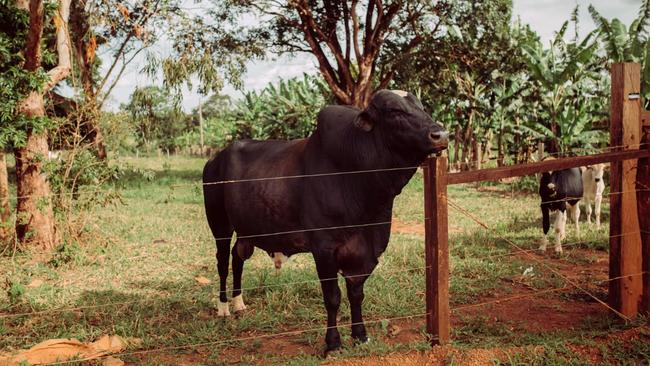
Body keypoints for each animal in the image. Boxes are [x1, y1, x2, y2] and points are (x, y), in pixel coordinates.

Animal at [202, 90, 446, 354]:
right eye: (394, 111)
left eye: (421, 107)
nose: (440, 135)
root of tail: (215, 159)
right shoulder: (324, 249)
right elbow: (333, 297)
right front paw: (333, 343)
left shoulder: (363, 252)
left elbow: (356, 293)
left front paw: (360, 335)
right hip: (220, 226)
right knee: (222, 261)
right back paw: (223, 307)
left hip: (246, 230)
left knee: (237, 258)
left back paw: (239, 303)